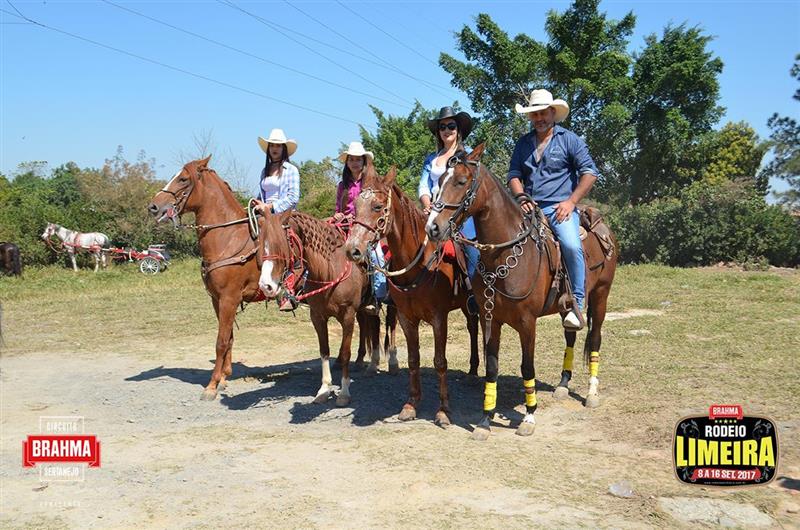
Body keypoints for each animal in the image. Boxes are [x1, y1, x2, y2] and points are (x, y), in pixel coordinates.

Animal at [258, 210, 385, 407]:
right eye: (260, 243)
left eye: (280, 243)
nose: (266, 286)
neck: (330, 271)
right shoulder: (317, 317)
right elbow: (324, 351)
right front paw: (324, 390)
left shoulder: (347, 315)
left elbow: (345, 352)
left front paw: (344, 393)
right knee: (366, 324)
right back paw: (361, 360)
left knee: (377, 324)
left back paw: (376, 363)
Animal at [344, 165, 481, 427]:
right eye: (354, 205)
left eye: (377, 206)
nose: (352, 249)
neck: (418, 265)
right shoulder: (407, 318)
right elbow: (413, 359)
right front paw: (411, 404)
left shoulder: (439, 318)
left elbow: (440, 361)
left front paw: (443, 410)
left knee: (474, 328)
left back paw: (474, 371)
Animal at [424, 145, 617, 439]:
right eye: (438, 182)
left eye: (460, 181)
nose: (433, 227)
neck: (504, 255)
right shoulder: (491, 318)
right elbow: (492, 366)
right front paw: (485, 419)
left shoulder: (527, 322)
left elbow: (528, 366)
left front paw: (529, 416)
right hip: (566, 307)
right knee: (570, 335)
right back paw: (563, 384)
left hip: (600, 295)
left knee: (594, 339)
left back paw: (592, 393)